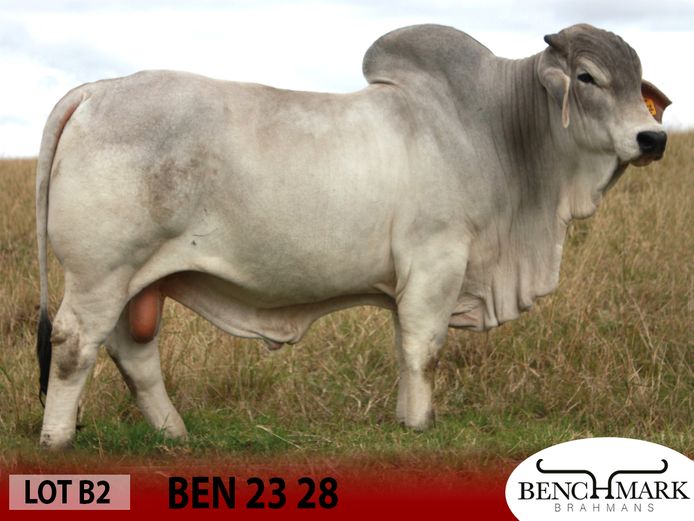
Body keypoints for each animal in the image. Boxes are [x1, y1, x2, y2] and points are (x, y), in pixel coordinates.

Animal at [35, 24, 670, 449]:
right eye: (587, 77)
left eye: (637, 87)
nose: (653, 138)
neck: (496, 130)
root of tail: (96, 90)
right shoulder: (437, 261)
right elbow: (424, 349)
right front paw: (421, 424)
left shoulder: (414, 278)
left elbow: (407, 346)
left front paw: (406, 418)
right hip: (100, 273)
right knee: (74, 345)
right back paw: (57, 439)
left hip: (136, 280)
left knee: (132, 352)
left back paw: (174, 433)